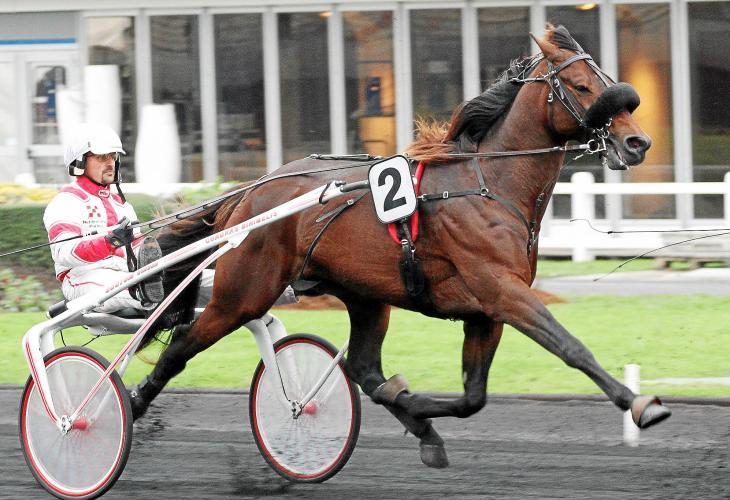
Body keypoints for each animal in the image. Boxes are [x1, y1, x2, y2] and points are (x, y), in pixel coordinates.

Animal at [129, 25, 669, 468]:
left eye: (607, 79)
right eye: (580, 86)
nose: (637, 142)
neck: (489, 184)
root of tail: (249, 193)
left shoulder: (485, 310)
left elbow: (473, 397)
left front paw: (418, 413)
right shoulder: (502, 291)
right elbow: (570, 347)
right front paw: (640, 404)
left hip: (365, 296)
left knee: (364, 368)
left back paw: (414, 422)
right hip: (244, 292)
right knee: (181, 344)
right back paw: (129, 406)